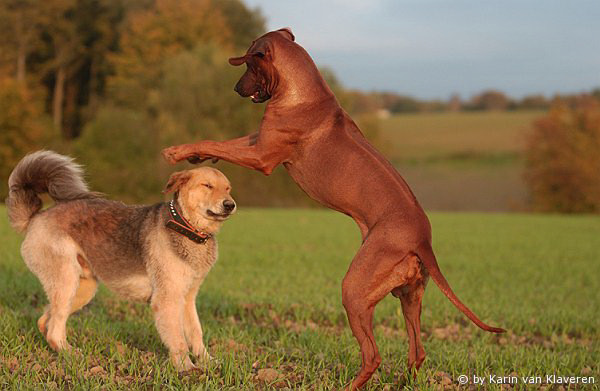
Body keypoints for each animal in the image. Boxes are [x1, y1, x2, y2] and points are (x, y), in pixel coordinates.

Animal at [7, 152, 237, 372]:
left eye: (228, 188)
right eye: (207, 186)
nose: (230, 205)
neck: (186, 227)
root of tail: (35, 217)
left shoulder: (188, 297)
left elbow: (196, 333)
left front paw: (208, 362)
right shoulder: (167, 299)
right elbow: (178, 339)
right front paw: (186, 369)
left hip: (82, 289)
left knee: (46, 322)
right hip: (66, 282)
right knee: (54, 329)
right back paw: (74, 356)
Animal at [162, 28, 504, 391]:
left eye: (249, 65)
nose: (236, 89)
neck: (303, 93)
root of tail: (422, 239)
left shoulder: (262, 156)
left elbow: (218, 143)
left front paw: (177, 151)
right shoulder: (258, 139)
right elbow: (220, 143)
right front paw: (193, 155)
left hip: (355, 290)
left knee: (373, 356)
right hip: (408, 294)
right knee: (417, 352)